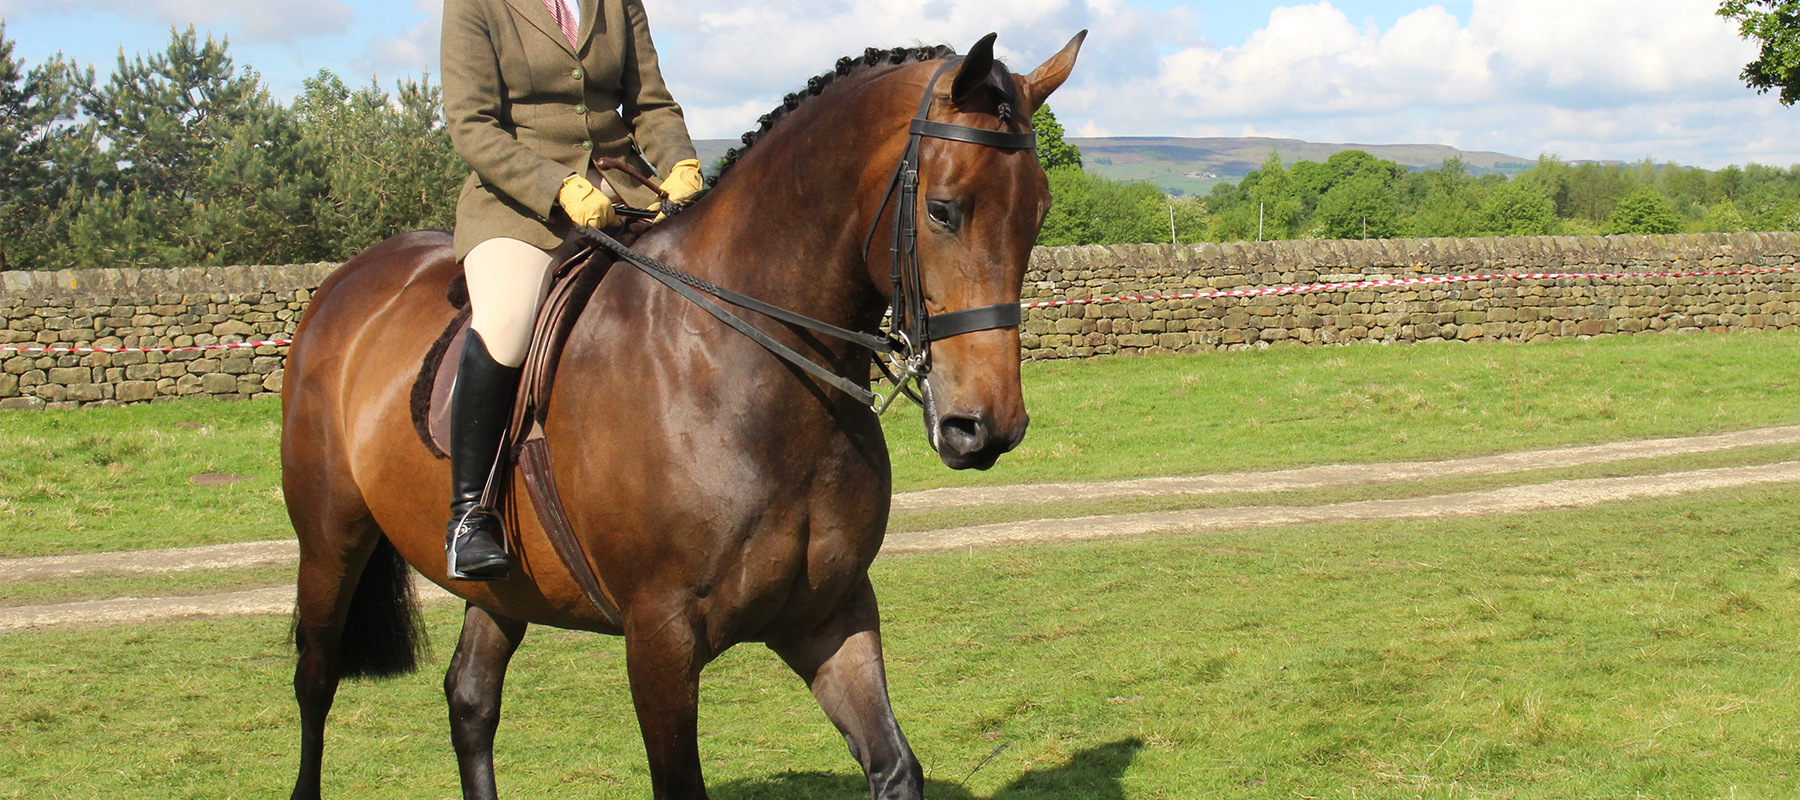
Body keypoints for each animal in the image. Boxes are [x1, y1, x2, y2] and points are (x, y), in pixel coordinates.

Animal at [281, 31, 1085, 800]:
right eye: (942, 209)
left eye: (1039, 211)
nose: (986, 426)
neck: (749, 368)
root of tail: (343, 284)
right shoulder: (660, 641)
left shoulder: (830, 615)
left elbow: (894, 767)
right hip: (329, 543)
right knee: (315, 681)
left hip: (506, 585)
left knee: (470, 696)